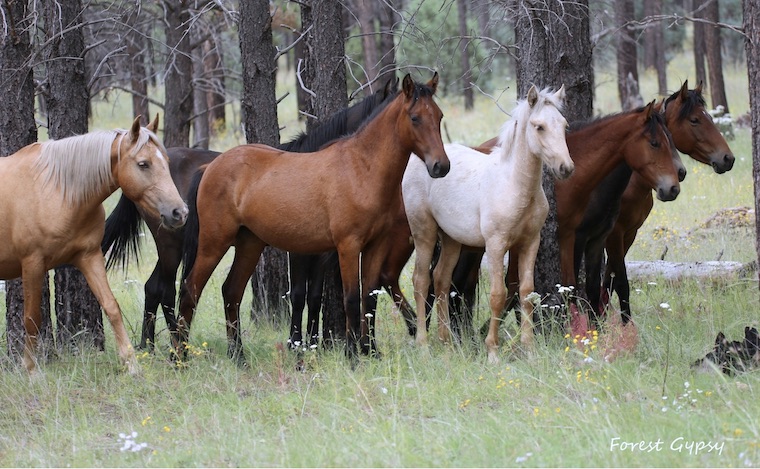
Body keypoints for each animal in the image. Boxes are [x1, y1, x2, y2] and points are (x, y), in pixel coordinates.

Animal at [0, 115, 187, 374]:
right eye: (143, 164)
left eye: (166, 162)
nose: (179, 212)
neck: (59, 191)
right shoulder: (32, 263)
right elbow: (31, 318)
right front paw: (31, 369)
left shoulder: (89, 257)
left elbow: (111, 307)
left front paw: (131, 364)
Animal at [101, 77, 402, 352]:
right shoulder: (299, 251)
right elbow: (299, 295)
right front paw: (296, 343)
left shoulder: (320, 251)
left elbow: (315, 296)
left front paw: (314, 343)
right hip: (171, 245)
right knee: (166, 288)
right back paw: (173, 343)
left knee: (153, 287)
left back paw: (149, 345)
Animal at [177, 73, 449, 361]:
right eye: (415, 118)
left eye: (439, 116)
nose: (441, 166)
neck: (360, 168)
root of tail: (209, 167)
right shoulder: (346, 247)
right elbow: (350, 298)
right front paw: (351, 355)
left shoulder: (375, 246)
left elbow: (369, 297)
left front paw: (370, 350)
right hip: (213, 243)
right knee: (190, 290)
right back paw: (179, 356)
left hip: (249, 243)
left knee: (231, 292)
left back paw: (238, 356)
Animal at [403, 85, 574, 362]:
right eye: (539, 127)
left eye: (564, 125)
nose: (566, 168)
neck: (514, 185)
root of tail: (419, 160)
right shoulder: (495, 245)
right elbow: (497, 295)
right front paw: (492, 351)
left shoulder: (530, 242)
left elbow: (527, 292)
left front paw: (529, 350)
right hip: (424, 232)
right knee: (421, 281)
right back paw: (423, 345)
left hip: (451, 239)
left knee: (440, 280)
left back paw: (447, 344)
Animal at [597, 81, 734, 323]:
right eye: (695, 120)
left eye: (709, 116)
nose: (728, 158)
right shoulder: (614, 234)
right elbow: (621, 282)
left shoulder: (629, 233)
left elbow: (609, 280)